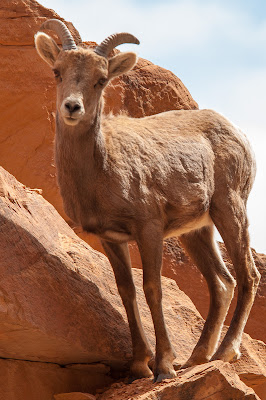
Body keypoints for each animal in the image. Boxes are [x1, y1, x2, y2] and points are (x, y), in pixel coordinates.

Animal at [34, 18, 260, 382]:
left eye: (101, 79)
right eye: (57, 71)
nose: (72, 107)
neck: (102, 168)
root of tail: (237, 132)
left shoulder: (149, 228)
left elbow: (152, 288)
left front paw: (163, 366)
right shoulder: (111, 238)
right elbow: (126, 291)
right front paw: (140, 365)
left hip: (230, 210)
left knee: (247, 276)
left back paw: (223, 353)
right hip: (195, 232)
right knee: (222, 283)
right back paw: (196, 358)